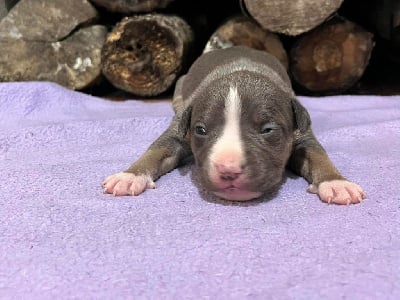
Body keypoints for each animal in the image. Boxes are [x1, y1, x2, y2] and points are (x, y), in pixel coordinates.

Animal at [103, 45, 366, 205]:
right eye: (201, 130)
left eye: (267, 130)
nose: (228, 170)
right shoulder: (178, 131)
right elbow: (157, 149)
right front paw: (130, 175)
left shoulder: (302, 134)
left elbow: (318, 155)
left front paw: (336, 182)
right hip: (181, 83)